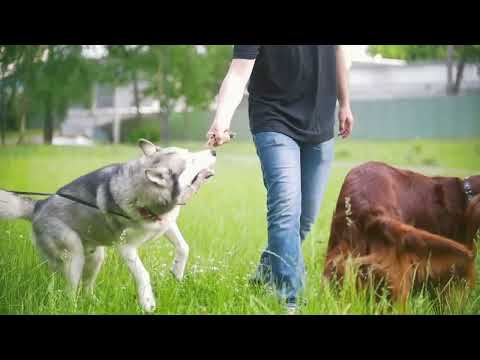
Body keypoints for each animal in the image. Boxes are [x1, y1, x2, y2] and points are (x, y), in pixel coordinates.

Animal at [0, 139, 217, 310]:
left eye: (190, 153)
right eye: (191, 161)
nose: (214, 151)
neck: (145, 198)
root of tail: (38, 205)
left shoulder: (167, 225)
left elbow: (184, 247)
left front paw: (177, 271)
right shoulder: (126, 248)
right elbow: (143, 274)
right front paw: (147, 301)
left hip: (96, 257)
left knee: (86, 287)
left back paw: (93, 303)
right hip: (73, 256)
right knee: (70, 292)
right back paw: (74, 307)